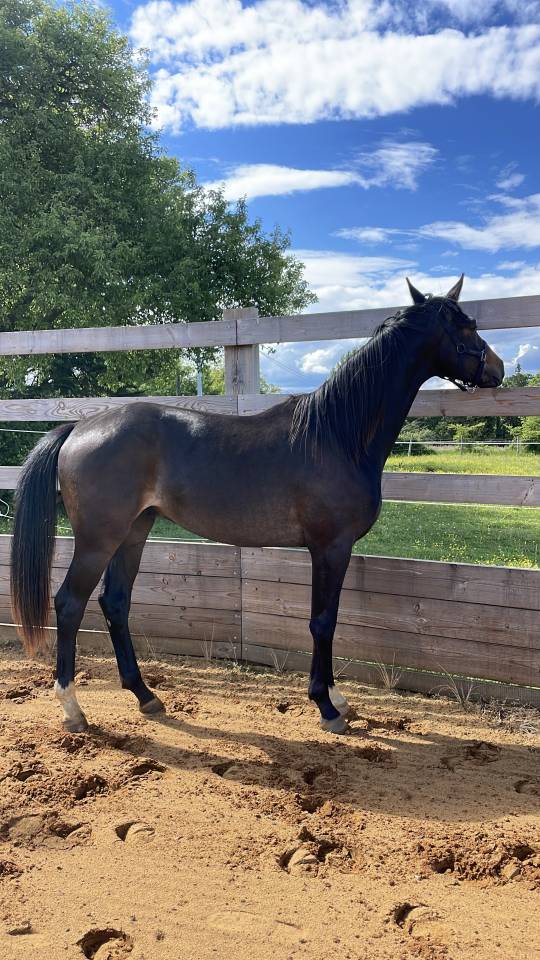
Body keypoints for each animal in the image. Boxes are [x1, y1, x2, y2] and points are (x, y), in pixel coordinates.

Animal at [10, 275, 504, 734]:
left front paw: (337, 698)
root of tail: (78, 428)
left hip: (135, 530)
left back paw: (146, 696)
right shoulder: (330, 547)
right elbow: (323, 620)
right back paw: (73, 709)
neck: (337, 435)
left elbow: (328, 619)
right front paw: (327, 707)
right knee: (69, 604)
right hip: (99, 539)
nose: (498, 369)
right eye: (468, 325)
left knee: (115, 602)